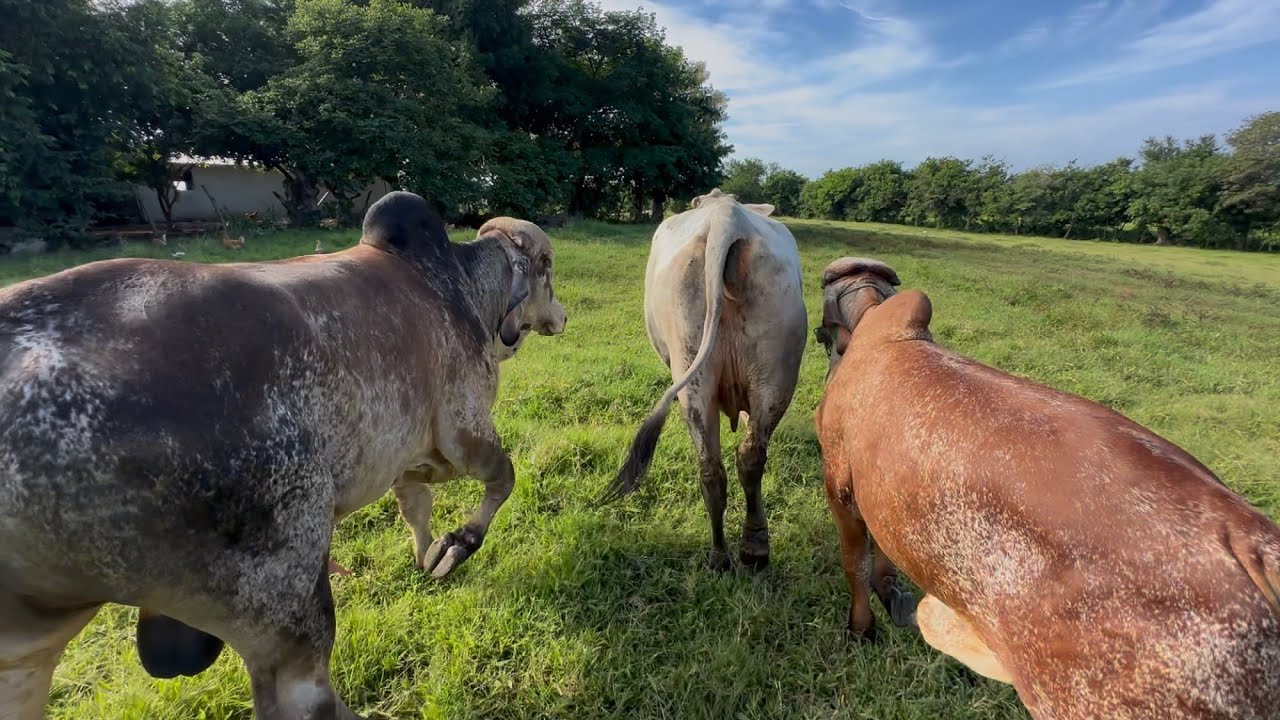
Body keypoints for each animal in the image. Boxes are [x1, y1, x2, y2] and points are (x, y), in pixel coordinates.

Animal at [0, 191, 566, 720]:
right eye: (548, 266)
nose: (562, 315)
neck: (462, 290)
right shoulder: (463, 432)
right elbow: (503, 479)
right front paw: (457, 546)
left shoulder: (404, 455)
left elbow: (416, 511)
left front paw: (427, 556)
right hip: (282, 590)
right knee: (306, 696)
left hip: (28, 650)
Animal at [601, 188, 807, 571]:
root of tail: (728, 216)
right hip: (774, 374)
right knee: (742, 458)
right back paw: (749, 550)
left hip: (692, 367)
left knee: (712, 464)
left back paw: (721, 555)